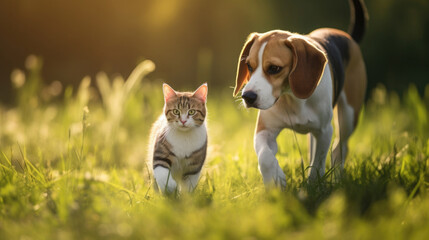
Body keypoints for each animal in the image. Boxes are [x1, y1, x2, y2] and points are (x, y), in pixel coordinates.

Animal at [234, 0, 368, 188]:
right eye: (249, 66)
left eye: (274, 68)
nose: (248, 97)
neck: (291, 97)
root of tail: (348, 37)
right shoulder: (264, 130)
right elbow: (265, 156)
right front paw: (275, 179)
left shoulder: (325, 131)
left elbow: (318, 163)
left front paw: (314, 186)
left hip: (348, 117)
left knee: (339, 148)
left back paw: (336, 179)